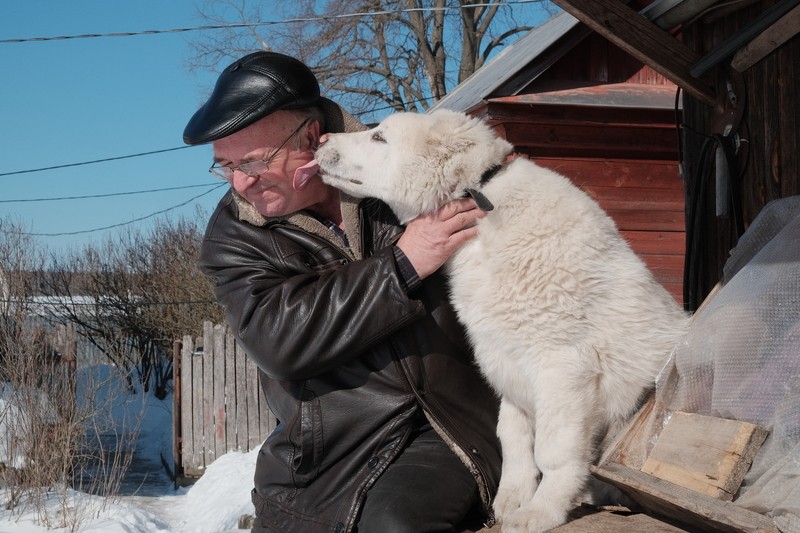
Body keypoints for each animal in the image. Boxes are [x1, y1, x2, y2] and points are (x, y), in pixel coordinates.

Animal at [316, 110, 692, 528]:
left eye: (379, 137)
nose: (320, 141)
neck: (480, 205)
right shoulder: (505, 361)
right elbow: (511, 436)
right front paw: (511, 498)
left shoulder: (563, 365)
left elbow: (553, 449)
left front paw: (541, 511)